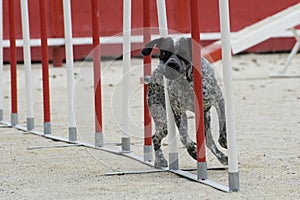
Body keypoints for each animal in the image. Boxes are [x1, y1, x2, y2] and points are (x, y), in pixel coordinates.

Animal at [142, 36, 229, 168]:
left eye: (183, 52)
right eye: (164, 52)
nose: (172, 64)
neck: (186, 80)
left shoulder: (219, 101)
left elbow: (222, 126)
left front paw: (224, 141)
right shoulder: (178, 111)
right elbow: (184, 137)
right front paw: (192, 149)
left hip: (205, 117)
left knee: (209, 142)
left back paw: (221, 157)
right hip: (163, 121)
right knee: (155, 137)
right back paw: (160, 159)